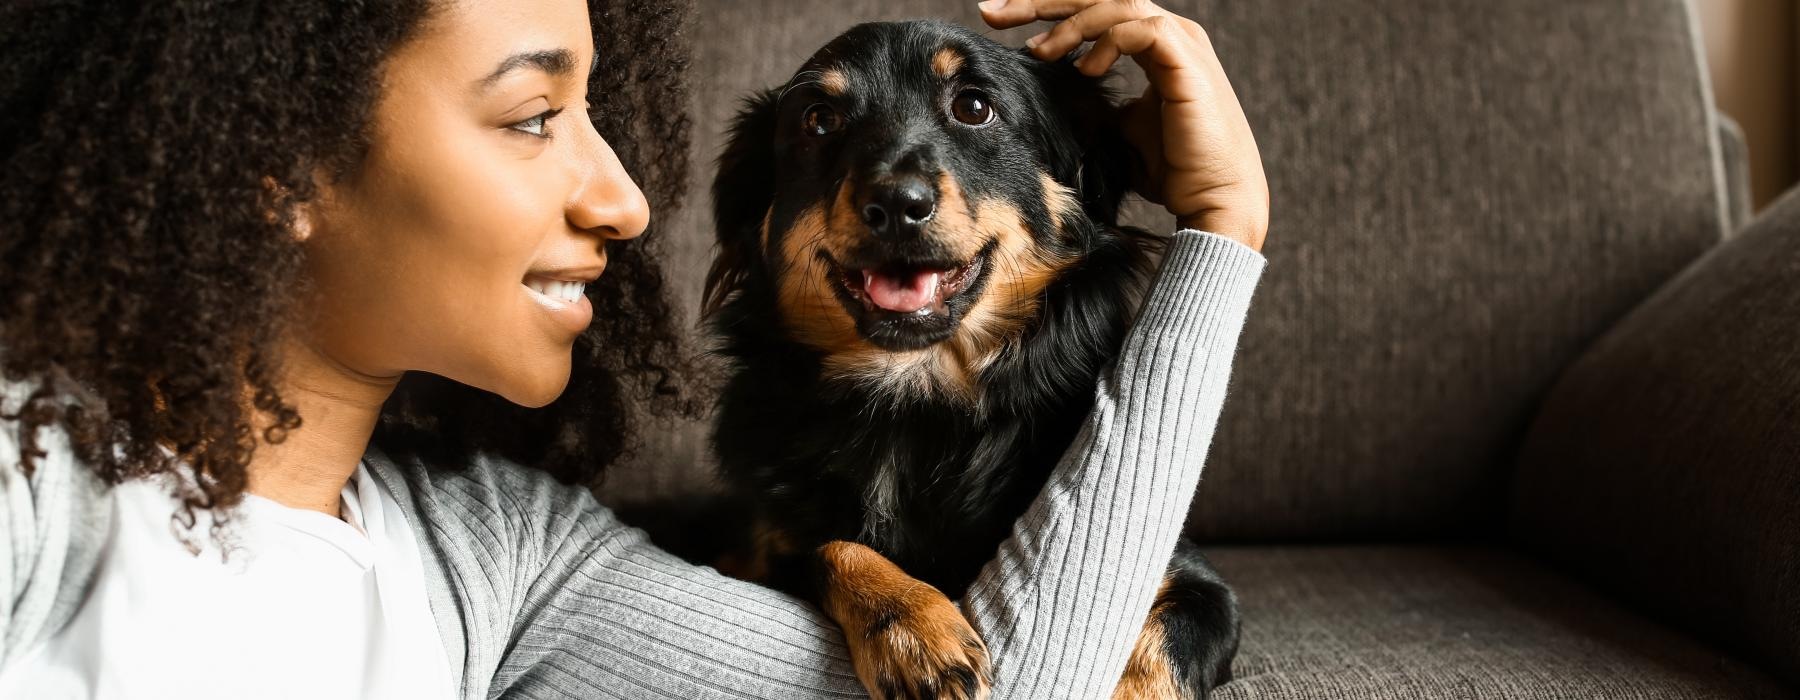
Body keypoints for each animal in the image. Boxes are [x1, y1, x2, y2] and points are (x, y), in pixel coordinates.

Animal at [698, 19, 1238, 694]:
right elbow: (830, 546)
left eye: (974, 108)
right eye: (819, 120)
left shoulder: (1193, 582)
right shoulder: (756, 548)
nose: (896, 205)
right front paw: (911, 627)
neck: (914, 399)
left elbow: (1159, 653)